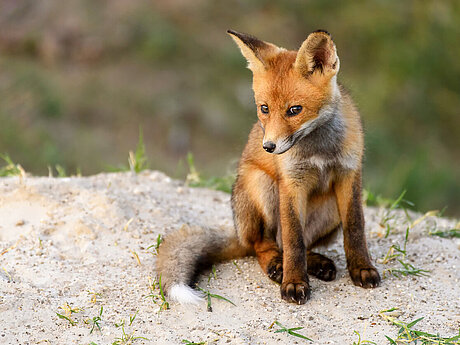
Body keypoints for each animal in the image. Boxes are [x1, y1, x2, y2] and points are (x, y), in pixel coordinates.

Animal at [156, 28, 380, 304]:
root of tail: (239, 232)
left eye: (294, 110)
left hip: (330, 209)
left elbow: (355, 228)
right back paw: (277, 266)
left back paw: (316, 263)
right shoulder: (291, 182)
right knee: (266, 246)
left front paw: (361, 268)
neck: (319, 150)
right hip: (262, 186)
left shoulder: (349, 175)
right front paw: (294, 282)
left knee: (296, 244)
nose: (269, 147)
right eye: (264, 108)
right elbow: (294, 240)